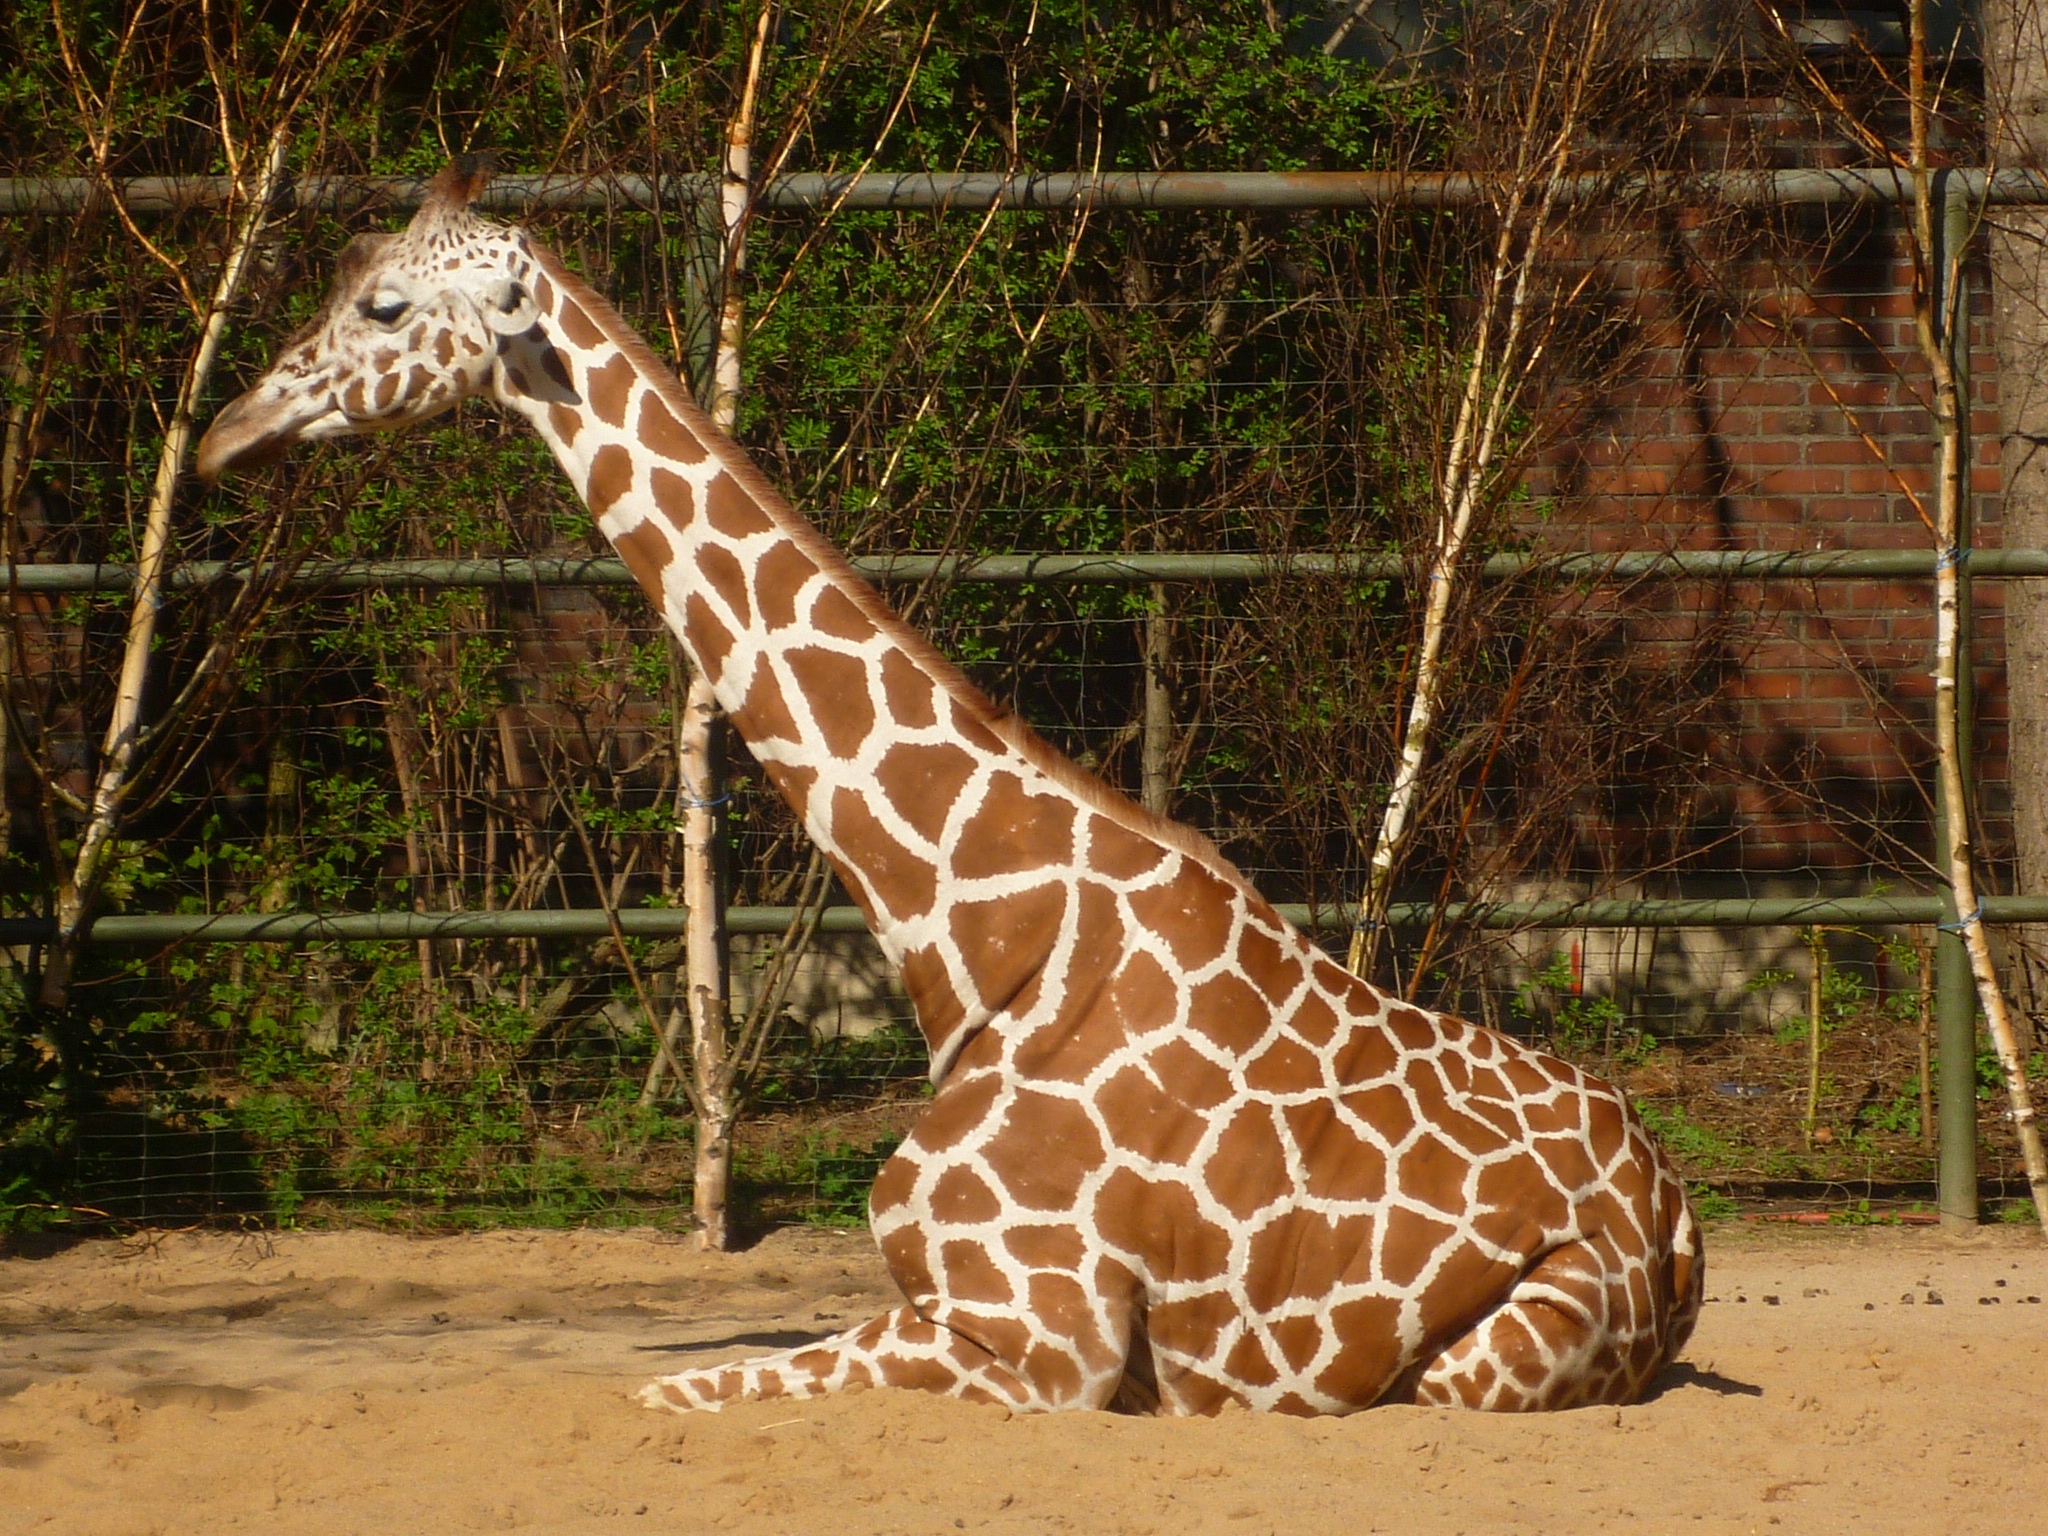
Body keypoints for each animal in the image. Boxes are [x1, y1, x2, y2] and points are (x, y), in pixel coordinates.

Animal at [203, 159, 1712, 1417]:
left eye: (386, 304)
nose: (223, 431)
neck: (972, 936)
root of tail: (1679, 1216)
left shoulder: (1038, 1345)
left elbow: (662, 1396)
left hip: (1483, 1363)